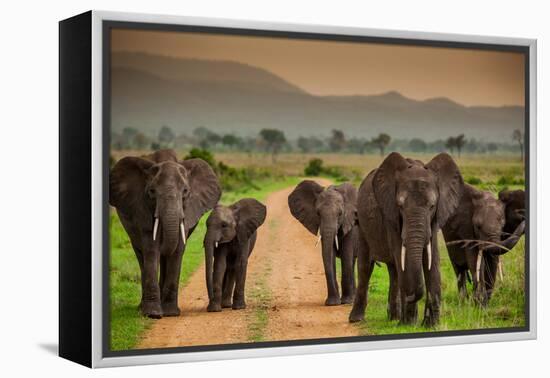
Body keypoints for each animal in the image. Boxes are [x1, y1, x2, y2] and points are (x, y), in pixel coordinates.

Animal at [110, 149, 222, 318]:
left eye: (185, 191)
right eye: (151, 192)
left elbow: (177, 250)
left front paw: (170, 313)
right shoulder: (142, 209)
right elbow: (151, 249)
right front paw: (153, 314)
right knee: (141, 255)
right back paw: (141, 308)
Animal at [352, 152, 464, 326]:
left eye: (432, 206)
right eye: (400, 206)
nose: (411, 295)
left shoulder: (434, 219)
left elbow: (433, 260)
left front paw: (431, 325)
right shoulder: (391, 216)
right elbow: (402, 259)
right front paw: (409, 323)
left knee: (394, 271)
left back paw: (394, 318)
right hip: (363, 225)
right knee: (366, 266)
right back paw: (357, 319)